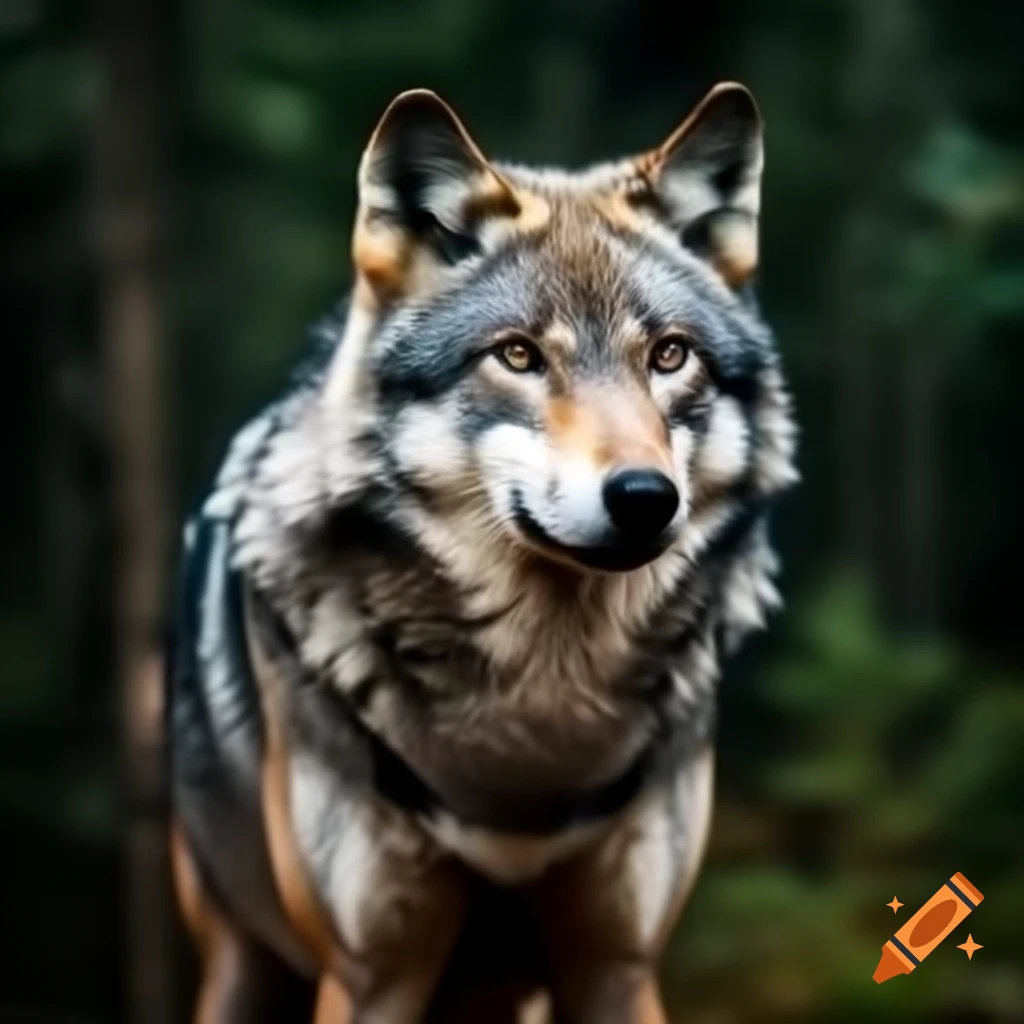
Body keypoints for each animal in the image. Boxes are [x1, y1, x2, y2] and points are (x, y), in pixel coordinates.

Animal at [167, 82, 798, 1023]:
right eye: (519, 355)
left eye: (669, 355)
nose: (645, 498)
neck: (534, 737)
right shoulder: (371, 975)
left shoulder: (619, 964)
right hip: (240, 963)